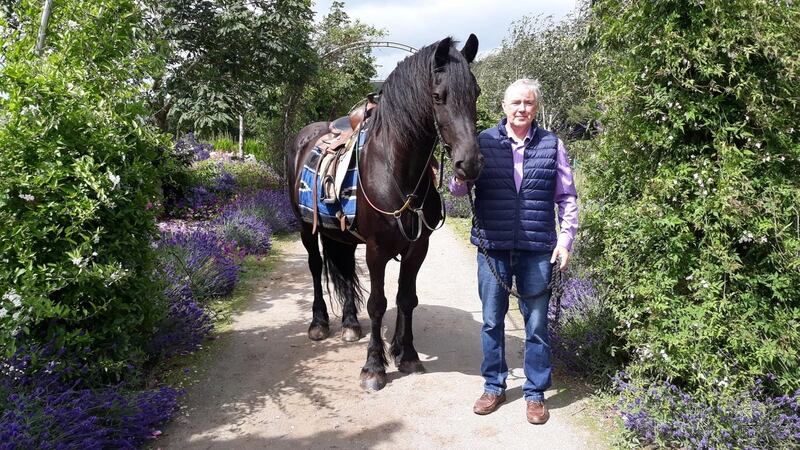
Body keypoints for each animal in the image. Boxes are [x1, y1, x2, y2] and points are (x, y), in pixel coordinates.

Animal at [290, 34, 484, 390]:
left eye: (475, 92)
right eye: (438, 95)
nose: (471, 163)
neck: (396, 170)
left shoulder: (418, 248)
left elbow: (406, 298)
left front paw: (406, 354)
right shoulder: (377, 250)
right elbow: (378, 303)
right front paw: (374, 366)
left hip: (342, 236)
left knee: (344, 268)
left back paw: (350, 324)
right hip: (304, 228)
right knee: (315, 267)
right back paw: (319, 323)